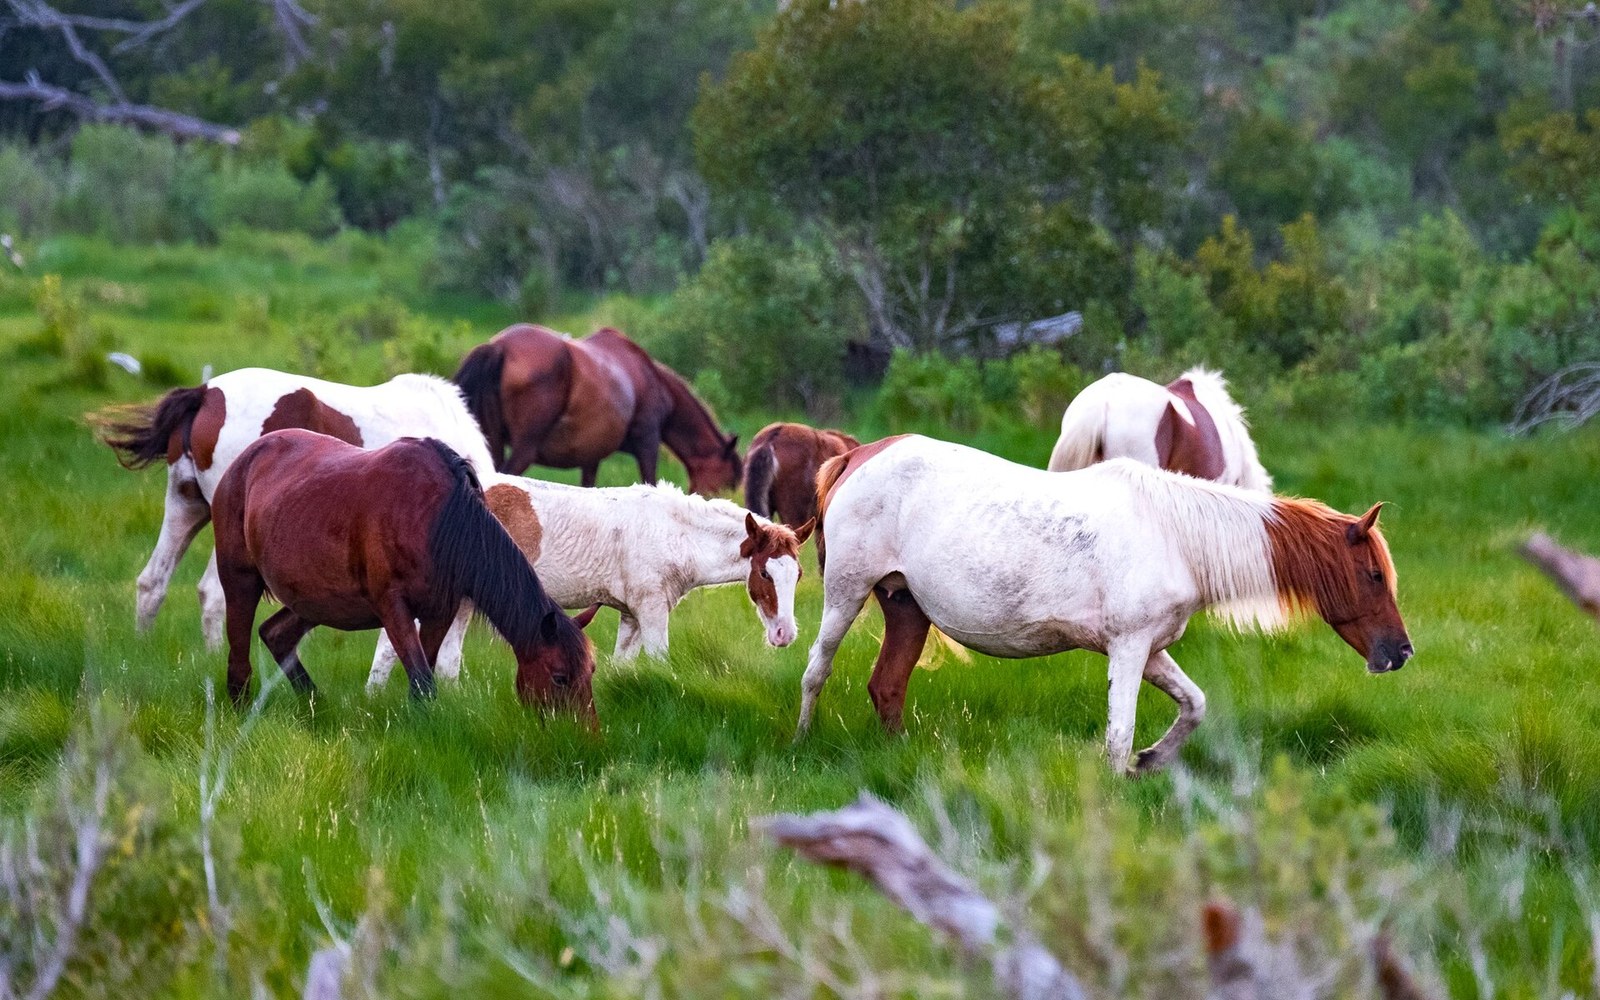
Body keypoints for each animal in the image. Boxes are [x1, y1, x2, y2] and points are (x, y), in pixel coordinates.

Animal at [210, 430, 600, 715]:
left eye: (591, 672)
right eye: (560, 677)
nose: (581, 734)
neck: (438, 519)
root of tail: (245, 460)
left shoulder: (440, 611)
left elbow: (421, 677)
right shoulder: (392, 606)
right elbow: (423, 681)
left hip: (315, 600)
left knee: (276, 634)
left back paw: (316, 704)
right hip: (240, 580)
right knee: (239, 655)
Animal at [365, 477, 813, 688]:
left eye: (797, 575)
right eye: (764, 573)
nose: (784, 634)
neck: (673, 532)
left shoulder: (632, 616)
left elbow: (625, 666)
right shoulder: (651, 611)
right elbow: (661, 662)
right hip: (459, 600)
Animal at [798, 435, 1411, 775]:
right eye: (1373, 575)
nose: (1401, 653)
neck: (1175, 535)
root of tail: (856, 456)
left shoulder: (1150, 649)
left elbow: (1194, 705)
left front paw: (1153, 761)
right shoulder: (1129, 649)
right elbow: (1119, 735)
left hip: (906, 607)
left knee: (888, 686)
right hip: (847, 595)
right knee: (816, 670)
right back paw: (803, 739)